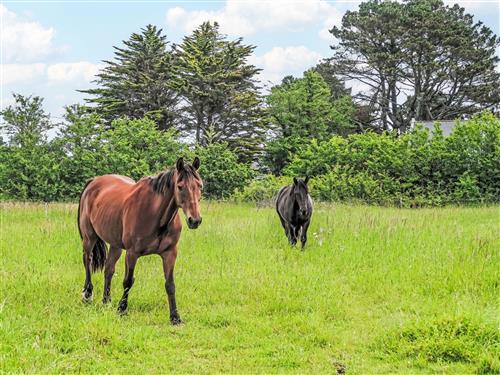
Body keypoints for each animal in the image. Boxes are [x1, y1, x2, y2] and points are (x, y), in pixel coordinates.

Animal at [77, 157, 202, 324]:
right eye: (180, 186)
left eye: (200, 185)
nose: (194, 220)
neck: (156, 216)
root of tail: (93, 181)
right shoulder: (132, 253)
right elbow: (128, 281)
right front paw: (122, 309)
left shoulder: (170, 253)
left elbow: (170, 284)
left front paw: (175, 317)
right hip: (89, 238)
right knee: (87, 261)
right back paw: (87, 295)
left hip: (115, 245)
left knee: (109, 269)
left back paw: (106, 301)